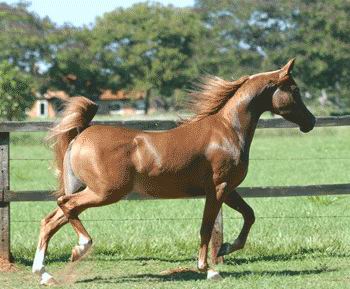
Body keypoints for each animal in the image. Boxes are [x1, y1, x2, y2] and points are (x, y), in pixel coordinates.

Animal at [32, 58, 314, 284]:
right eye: (295, 89)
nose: (311, 121)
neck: (228, 130)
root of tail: (81, 134)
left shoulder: (229, 189)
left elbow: (249, 215)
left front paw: (225, 248)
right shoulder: (218, 188)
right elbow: (206, 227)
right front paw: (209, 269)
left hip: (87, 189)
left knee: (51, 219)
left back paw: (45, 274)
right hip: (105, 192)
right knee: (65, 205)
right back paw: (80, 248)